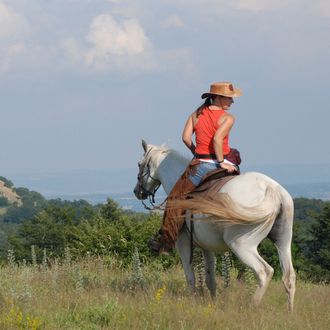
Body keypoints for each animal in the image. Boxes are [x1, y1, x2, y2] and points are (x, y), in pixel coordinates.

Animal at [134, 141, 296, 310]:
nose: (137, 191)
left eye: (139, 164)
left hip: (241, 245)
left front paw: (193, 302)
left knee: (264, 271)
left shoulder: (183, 244)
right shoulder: (207, 247)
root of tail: (271, 189)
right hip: (283, 242)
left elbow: (190, 277)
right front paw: (212, 303)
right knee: (289, 277)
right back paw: (289, 311)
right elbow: (210, 278)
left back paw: (252, 306)